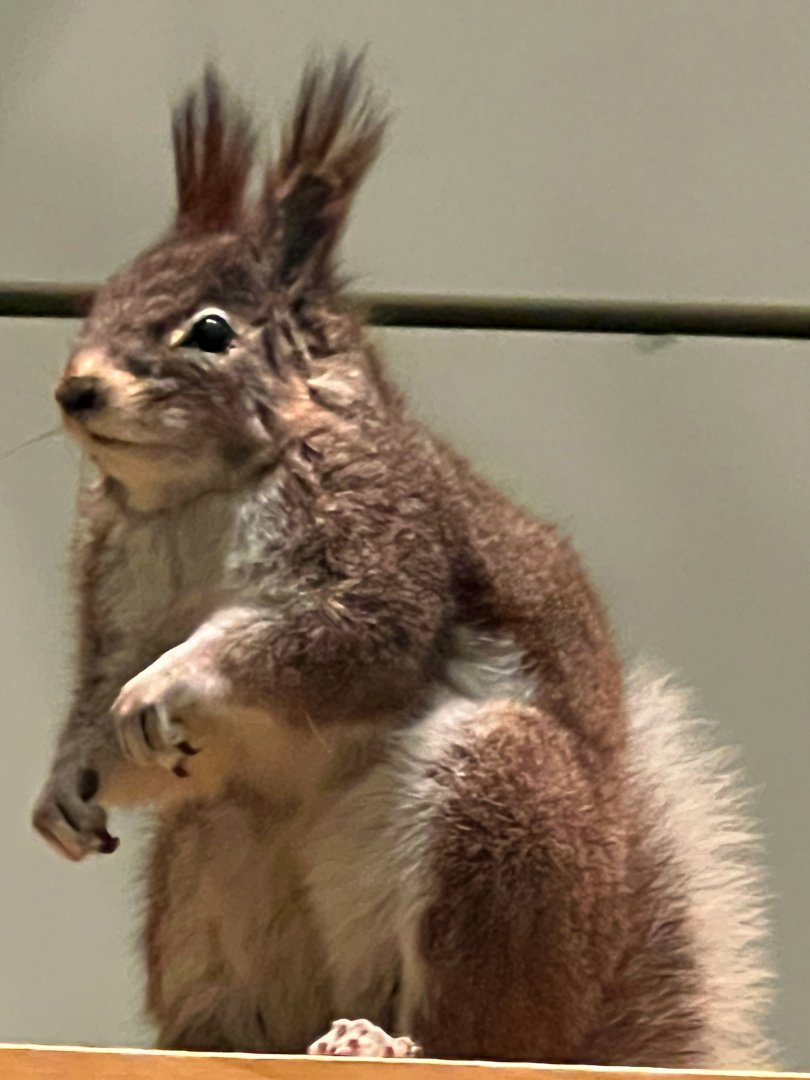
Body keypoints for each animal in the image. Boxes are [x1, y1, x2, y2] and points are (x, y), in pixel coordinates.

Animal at [32, 53, 773, 1067]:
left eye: (212, 331)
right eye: (97, 301)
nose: (77, 390)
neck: (200, 494)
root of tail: (572, 1025)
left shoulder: (386, 537)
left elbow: (352, 639)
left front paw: (177, 676)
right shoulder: (114, 589)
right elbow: (98, 698)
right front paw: (63, 783)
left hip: (497, 815)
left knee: (472, 1029)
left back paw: (388, 1043)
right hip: (209, 858)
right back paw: (216, 1042)